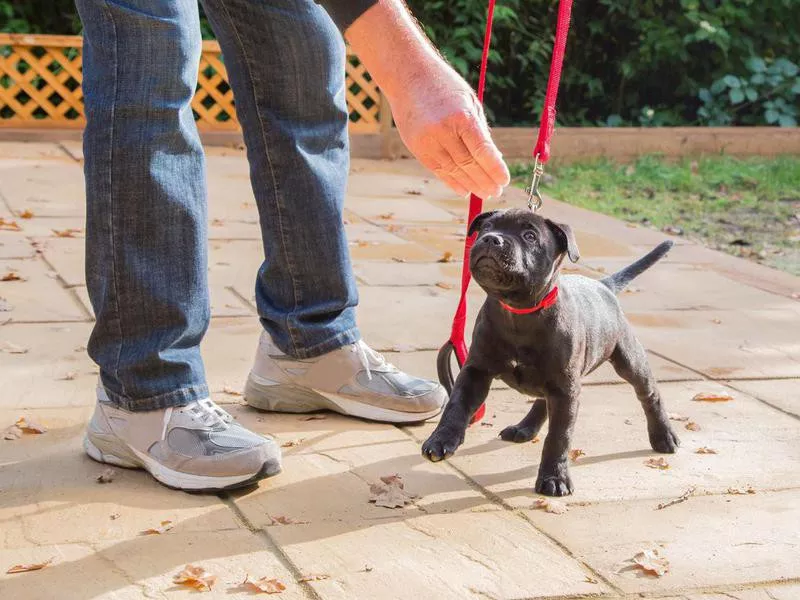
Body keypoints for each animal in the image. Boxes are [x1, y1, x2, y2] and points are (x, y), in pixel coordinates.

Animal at [422, 211, 680, 496]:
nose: (491, 239)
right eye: (487, 227)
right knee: (542, 400)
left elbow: (559, 436)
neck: (518, 312)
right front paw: (441, 439)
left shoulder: (566, 389)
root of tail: (604, 286)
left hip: (628, 360)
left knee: (649, 395)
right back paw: (524, 427)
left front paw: (554, 477)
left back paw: (663, 436)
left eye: (529, 236)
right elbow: (456, 406)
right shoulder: (476, 371)